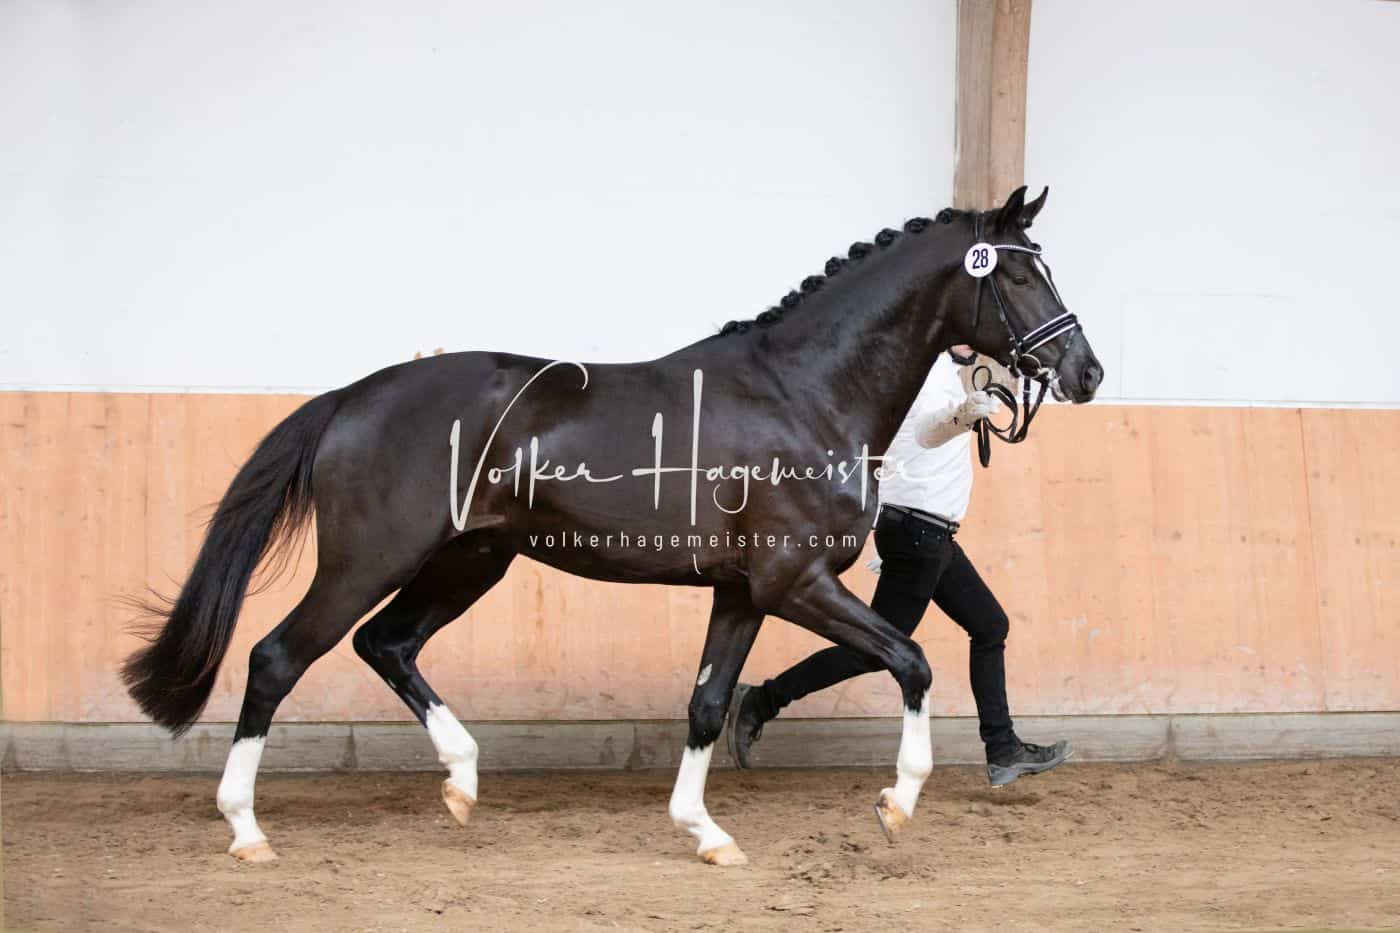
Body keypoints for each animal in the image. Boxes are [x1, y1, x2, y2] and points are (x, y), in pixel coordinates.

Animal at [122, 185, 1102, 866]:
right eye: (1018, 271)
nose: (1086, 371)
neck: (804, 394)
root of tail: (352, 397)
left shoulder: (743, 592)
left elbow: (708, 701)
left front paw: (705, 831)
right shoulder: (796, 582)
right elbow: (913, 658)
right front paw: (898, 802)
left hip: (471, 560)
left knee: (386, 644)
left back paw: (463, 780)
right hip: (371, 559)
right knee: (277, 657)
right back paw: (248, 830)